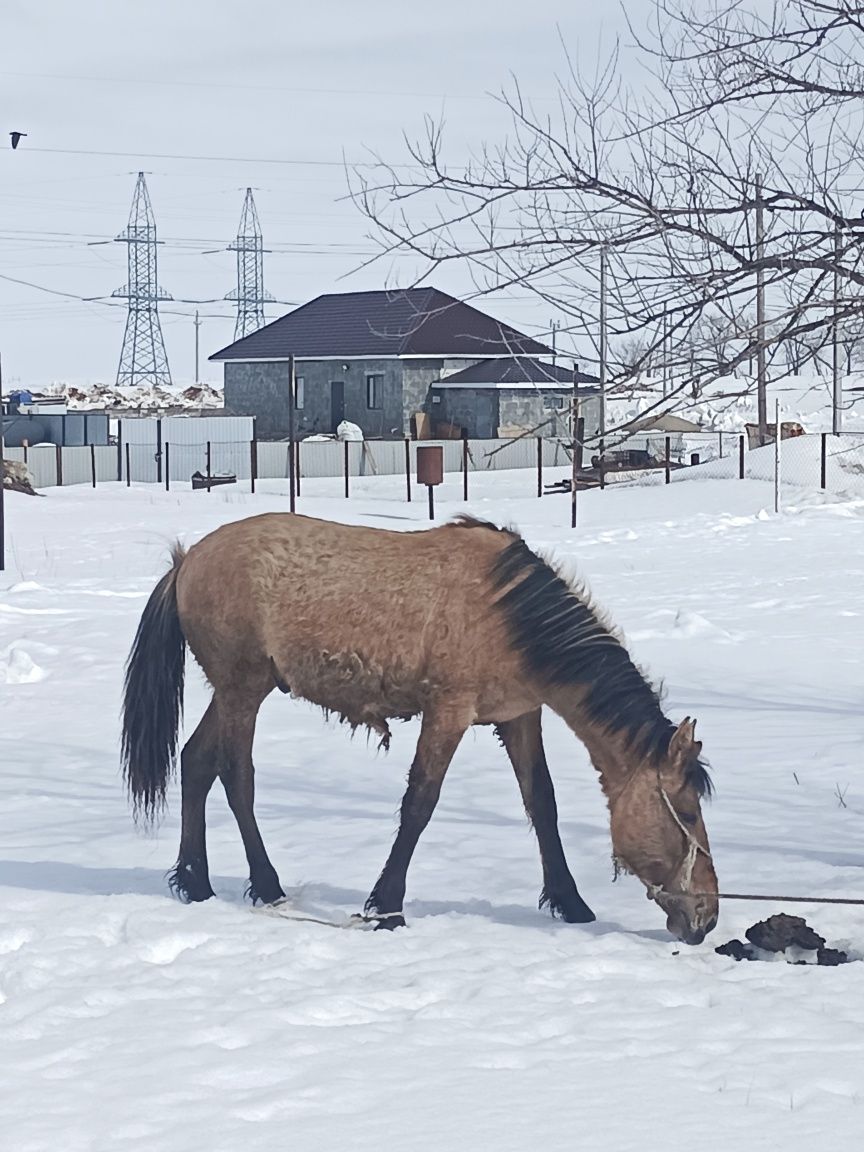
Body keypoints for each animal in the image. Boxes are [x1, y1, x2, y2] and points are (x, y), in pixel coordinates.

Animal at [120, 516, 718, 944]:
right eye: (688, 813)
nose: (708, 917)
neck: (510, 615)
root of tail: (187, 560)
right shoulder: (447, 710)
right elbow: (420, 806)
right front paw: (387, 906)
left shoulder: (519, 716)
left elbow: (541, 804)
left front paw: (570, 902)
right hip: (242, 688)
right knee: (236, 776)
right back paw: (265, 886)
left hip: (237, 690)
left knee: (196, 762)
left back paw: (194, 880)